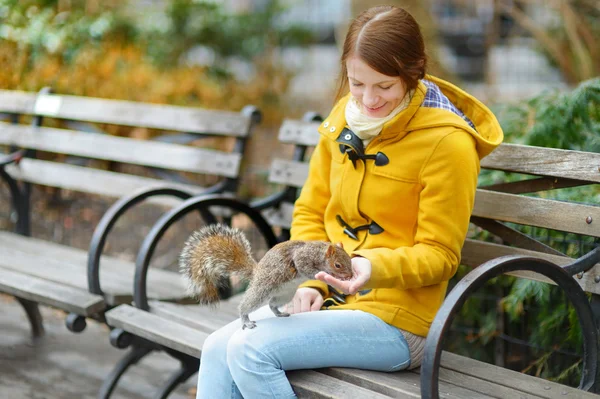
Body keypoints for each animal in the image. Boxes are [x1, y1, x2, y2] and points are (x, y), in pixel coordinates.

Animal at [180, 223, 354, 330]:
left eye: (350, 259)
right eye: (338, 265)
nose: (351, 274)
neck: (318, 252)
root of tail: (256, 272)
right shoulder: (301, 258)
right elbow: (305, 268)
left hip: (285, 294)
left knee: (272, 305)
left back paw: (280, 313)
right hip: (261, 290)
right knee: (246, 306)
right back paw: (246, 320)